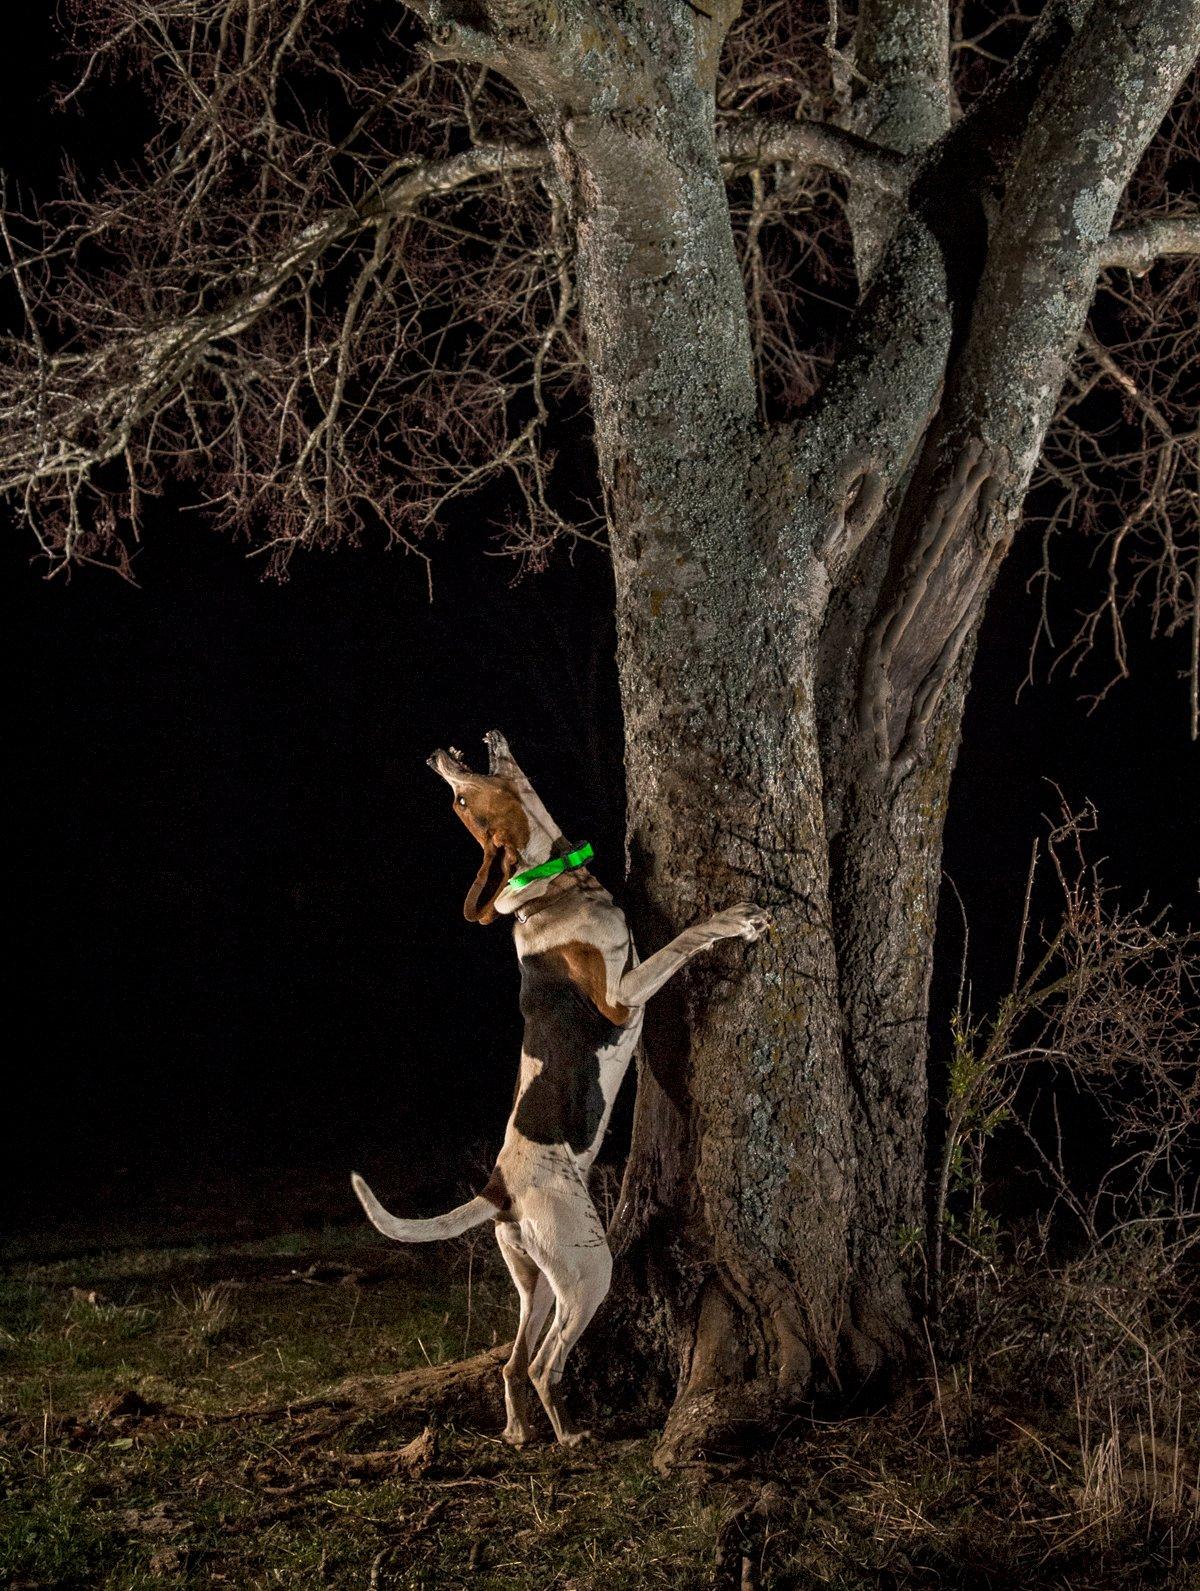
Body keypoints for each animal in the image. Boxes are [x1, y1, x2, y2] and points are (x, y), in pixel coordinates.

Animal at [353, 728, 767, 1444]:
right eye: (461, 799)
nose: (435, 756)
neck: (550, 883)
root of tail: (498, 1189)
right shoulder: (622, 997)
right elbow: (680, 941)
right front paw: (734, 920)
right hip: (587, 1270)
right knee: (546, 1362)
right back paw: (568, 1434)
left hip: (537, 1280)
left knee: (514, 1362)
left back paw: (519, 1432)